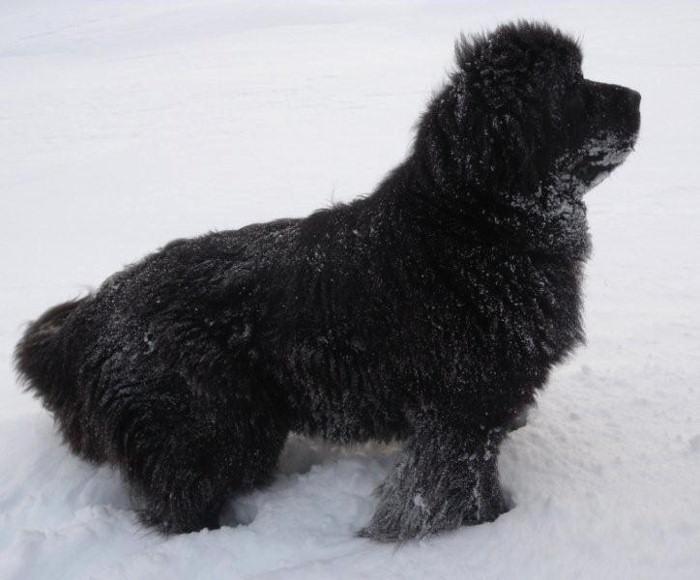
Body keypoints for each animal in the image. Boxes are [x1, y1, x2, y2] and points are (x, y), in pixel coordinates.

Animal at [15, 21, 640, 540]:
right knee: (180, 505)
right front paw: (478, 533)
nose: (638, 96)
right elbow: (448, 490)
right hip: (207, 426)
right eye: (570, 87)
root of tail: (96, 311)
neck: (473, 227)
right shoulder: (460, 410)